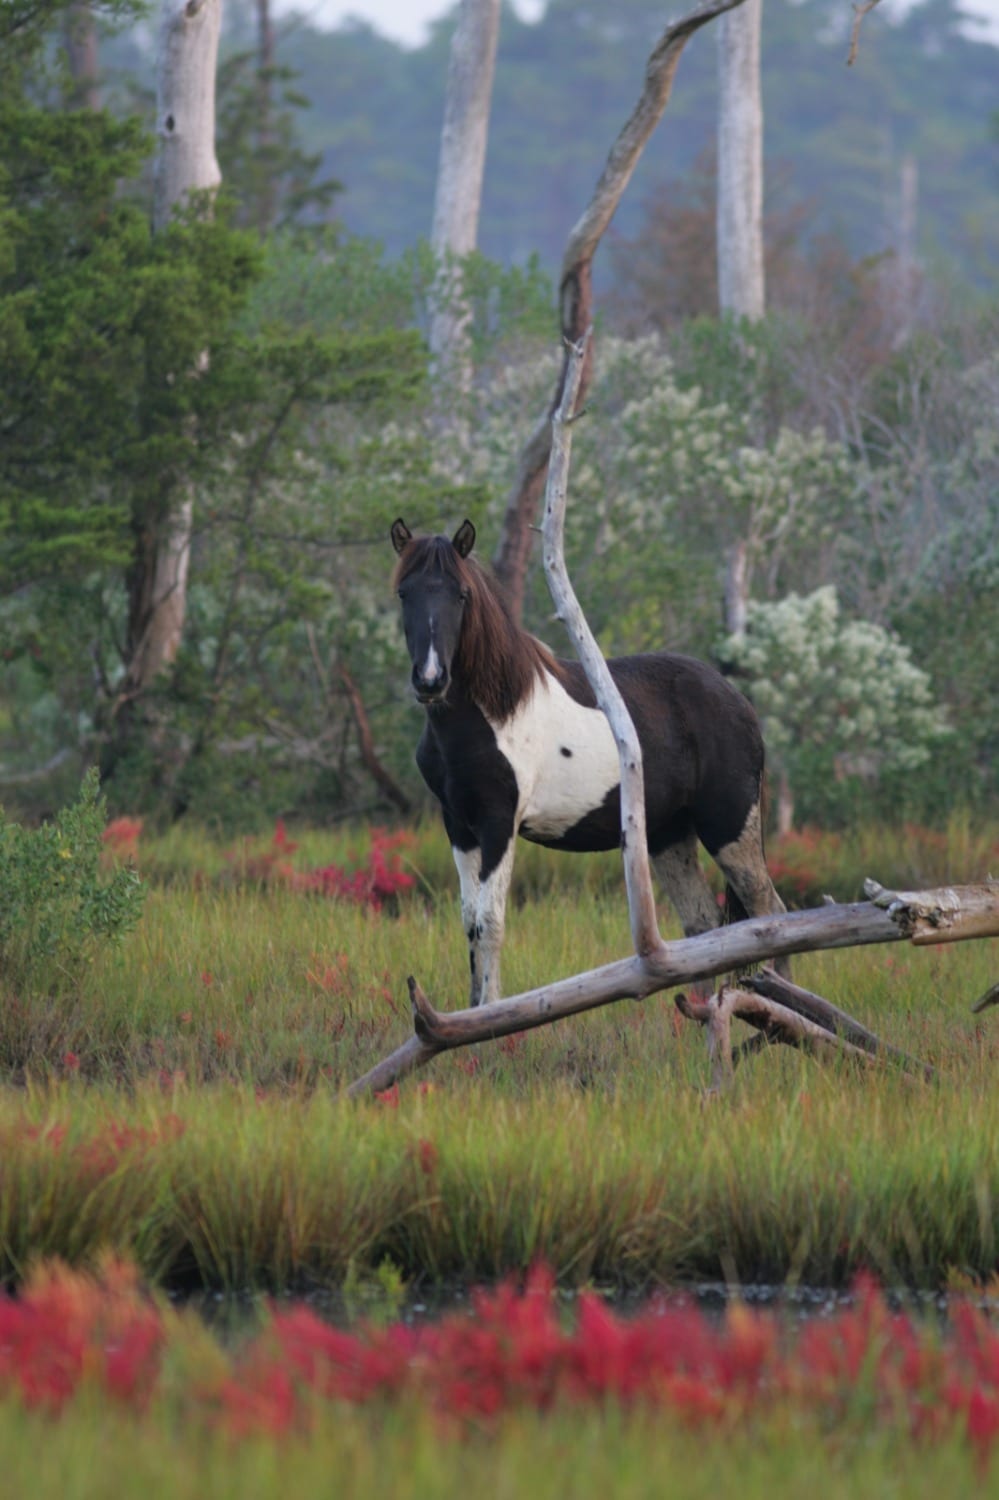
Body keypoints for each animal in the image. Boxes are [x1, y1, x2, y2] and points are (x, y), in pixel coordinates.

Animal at [391, 518, 787, 1007]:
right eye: (404, 593)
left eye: (461, 594)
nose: (430, 680)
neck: (492, 712)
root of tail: (741, 703)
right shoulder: (459, 826)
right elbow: (469, 923)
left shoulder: (499, 823)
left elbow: (491, 922)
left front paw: (492, 1016)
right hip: (669, 835)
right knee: (702, 925)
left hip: (730, 829)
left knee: (770, 913)